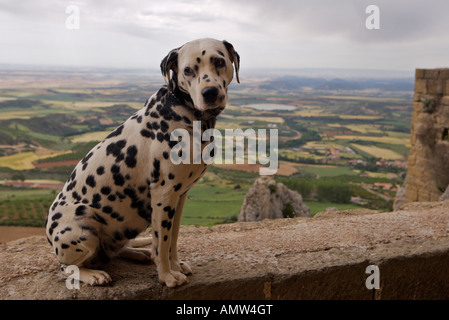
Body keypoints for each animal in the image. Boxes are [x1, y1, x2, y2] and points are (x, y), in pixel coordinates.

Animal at [45, 38, 240, 288]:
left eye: (219, 61)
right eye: (188, 70)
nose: (210, 92)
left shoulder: (179, 197)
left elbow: (173, 239)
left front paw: (176, 266)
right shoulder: (164, 195)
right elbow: (162, 243)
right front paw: (167, 276)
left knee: (115, 251)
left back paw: (138, 251)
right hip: (83, 230)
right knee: (67, 268)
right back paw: (94, 274)